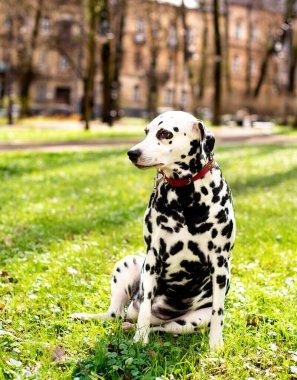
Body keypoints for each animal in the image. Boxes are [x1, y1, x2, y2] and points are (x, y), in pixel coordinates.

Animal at [70, 111, 235, 352]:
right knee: (116, 315)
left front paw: (215, 344)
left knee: (162, 328)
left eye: (165, 133)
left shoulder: (220, 265)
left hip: (192, 320)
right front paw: (140, 340)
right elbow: (146, 307)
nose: (132, 153)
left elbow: (218, 313)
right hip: (127, 264)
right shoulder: (153, 259)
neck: (185, 198)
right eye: (146, 131)